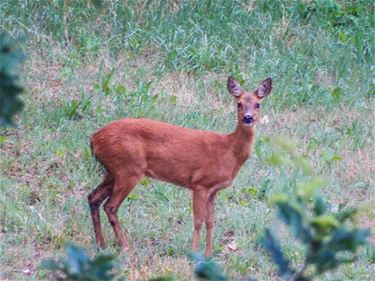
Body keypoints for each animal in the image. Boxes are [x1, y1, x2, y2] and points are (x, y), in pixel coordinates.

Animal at [88, 75, 274, 255]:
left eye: (257, 104)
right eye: (239, 104)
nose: (248, 118)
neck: (229, 151)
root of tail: (94, 139)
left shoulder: (213, 190)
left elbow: (210, 221)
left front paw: (208, 255)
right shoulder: (200, 183)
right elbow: (198, 220)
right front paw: (194, 253)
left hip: (113, 170)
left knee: (93, 197)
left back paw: (101, 244)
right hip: (128, 169)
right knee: (110, 206)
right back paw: (125, 246)